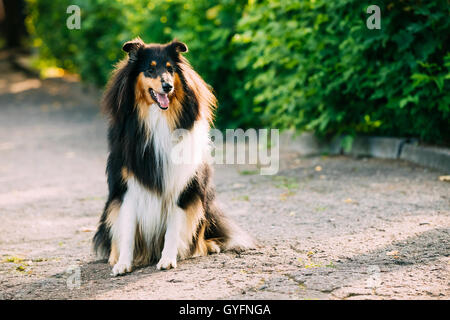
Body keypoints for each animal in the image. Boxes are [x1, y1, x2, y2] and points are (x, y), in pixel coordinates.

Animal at [93, 37, 253, 276]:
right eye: (150, 69)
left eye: (170, 69)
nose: (168, 86)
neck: (157, 118)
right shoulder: (128, 186)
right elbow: (128, 228)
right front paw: (123, 263)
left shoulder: (182, 185)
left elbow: (174, 227)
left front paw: (168, 259)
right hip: (112, 205)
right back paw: (115, 256)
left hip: (204, 200)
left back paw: (207, 246)